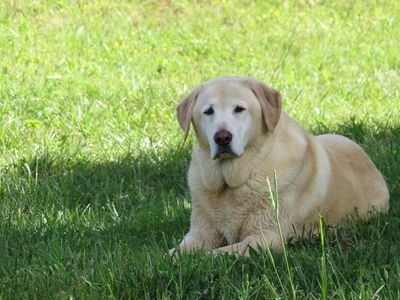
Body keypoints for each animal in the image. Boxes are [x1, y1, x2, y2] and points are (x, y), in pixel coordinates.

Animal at [170, 77, 390, 255]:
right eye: (208, 111)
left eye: (239, 109)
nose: (222, 137)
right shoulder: (200, 233)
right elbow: (175, 253)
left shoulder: (265, 237)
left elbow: (215, 254)